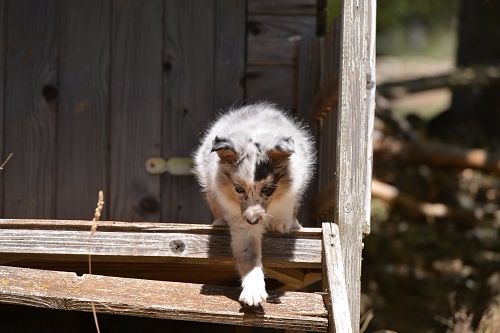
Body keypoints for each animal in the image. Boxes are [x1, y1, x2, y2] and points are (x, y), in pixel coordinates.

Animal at [193, 102, 314, 304]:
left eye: (267, 190)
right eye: (239, 189)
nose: (252, 220)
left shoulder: (294, 185)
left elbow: (287, 206)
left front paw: (282, 223)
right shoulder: (241, 224)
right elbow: (249, 255)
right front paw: (253, 292)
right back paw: (219, 222)